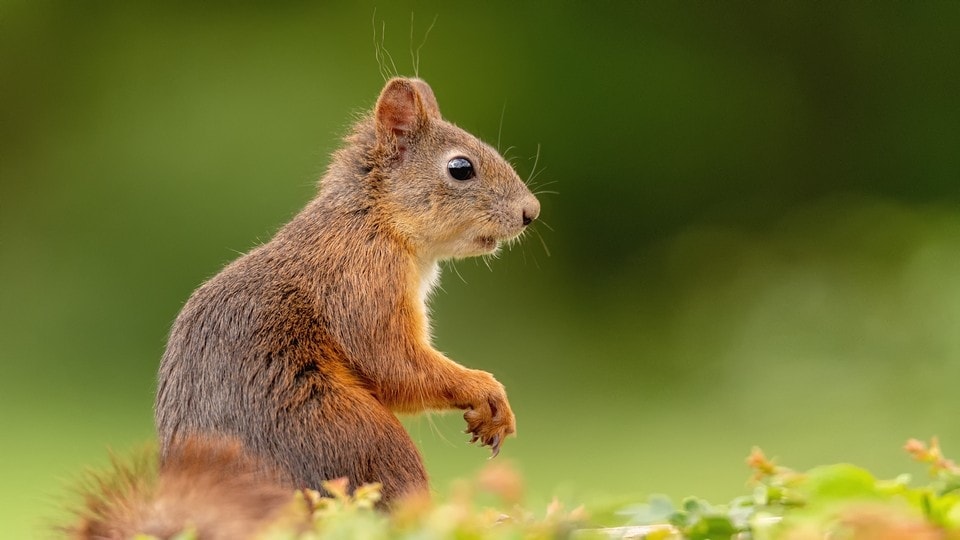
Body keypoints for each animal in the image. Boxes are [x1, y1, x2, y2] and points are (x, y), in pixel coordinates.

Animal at [150, 77, 540, 508]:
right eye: (461, 168)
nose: (531, 212)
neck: (374, 220)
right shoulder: (362, 281)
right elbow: (393, 363)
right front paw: (485, 391)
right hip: (359, 436)